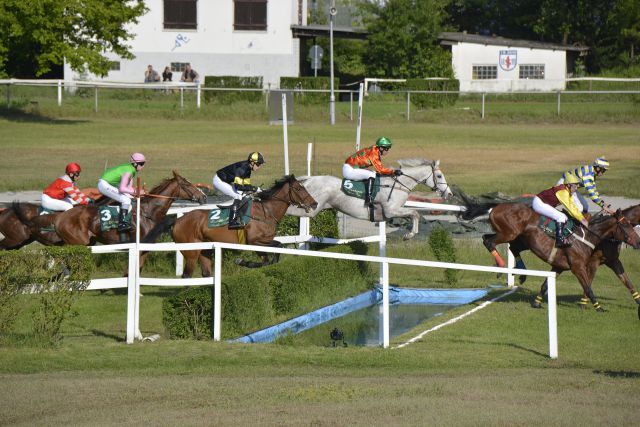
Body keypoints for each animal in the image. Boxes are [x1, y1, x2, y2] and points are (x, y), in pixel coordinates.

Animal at [172, 176, 318, 280]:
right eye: (298, 189)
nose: (314, 203)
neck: (266, 212)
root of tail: (177, 221)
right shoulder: (254, 241)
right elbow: (279, 246)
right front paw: (241, 260)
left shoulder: (261, 243)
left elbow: (267, 261)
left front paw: (242, 261)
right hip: (191, 252)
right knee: (186, 275)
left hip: (204, 250)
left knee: (205, 272)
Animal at [288, 158, 452, 241]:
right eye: (439, 176)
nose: (449, 194)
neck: (398, 185)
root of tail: (310, 179)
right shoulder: (391, 211)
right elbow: (415, 213)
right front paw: (409, 234)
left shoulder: (390, 213)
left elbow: (414, 214)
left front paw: (410, 233)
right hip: (311, 209)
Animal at [460, 202, 640, 312]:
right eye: (625, 225)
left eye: (631, 224)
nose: (638, 242)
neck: (588, 237)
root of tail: (496, 207)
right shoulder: (579, 266)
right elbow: (588, 287)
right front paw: (598, 307)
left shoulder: (559, 266)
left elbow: (545, 285)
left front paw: (536, 302)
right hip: (509, 233)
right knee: (489, 241)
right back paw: (501, 266)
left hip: (515, 236)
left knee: (501, 243)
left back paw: (520, 273)